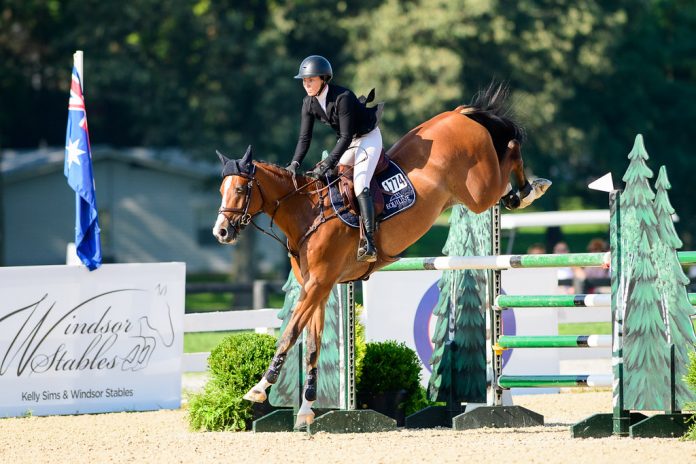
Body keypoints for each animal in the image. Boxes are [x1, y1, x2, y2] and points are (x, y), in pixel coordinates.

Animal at [212, 83, 548, 428]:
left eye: (240, 190)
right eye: (221, 190)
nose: (221, 232)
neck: (308, 211)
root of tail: (458, 115)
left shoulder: (319, 283)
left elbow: (291, 333)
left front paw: (259, 388)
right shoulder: (317, 287)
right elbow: (313, 343)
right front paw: (306, 410)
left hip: (479, 191)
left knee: (510, 149)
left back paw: (529, 190)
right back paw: (521, 192)